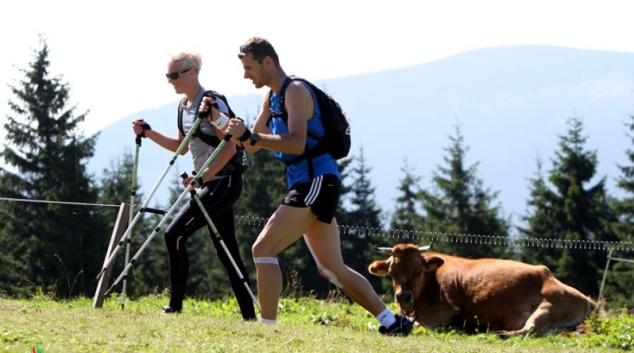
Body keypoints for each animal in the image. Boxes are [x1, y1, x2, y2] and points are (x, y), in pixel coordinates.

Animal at [368, 242, 596, 336]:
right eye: (392, 272)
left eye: (417, 270)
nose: (403, 296)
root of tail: (589, 301)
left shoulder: (446, 307)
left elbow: (419, 325)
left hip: (548, 306)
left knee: (530, 329)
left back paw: (501, 334)